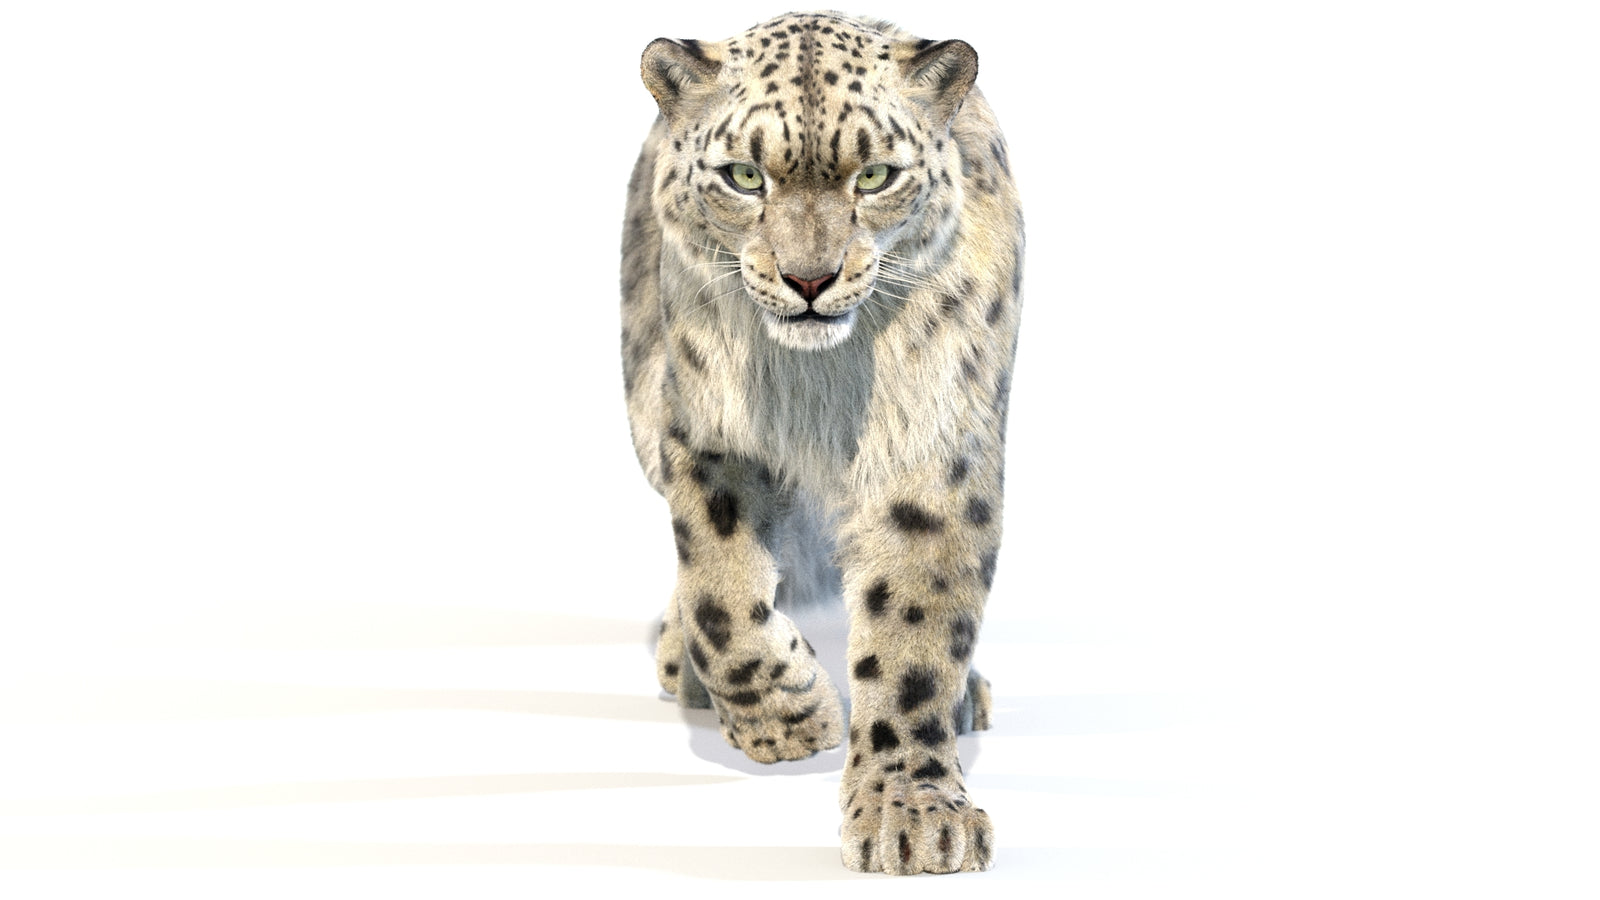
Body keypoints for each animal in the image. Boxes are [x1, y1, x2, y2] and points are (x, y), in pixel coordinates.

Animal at [619, 11, 1023, 875]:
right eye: (744, 176)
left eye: (873, 176)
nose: (810, 279)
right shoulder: (705, 436)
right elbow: (720, 595)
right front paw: (790, 719)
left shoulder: (930, 451)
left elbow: (913, 631)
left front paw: (914, 817)